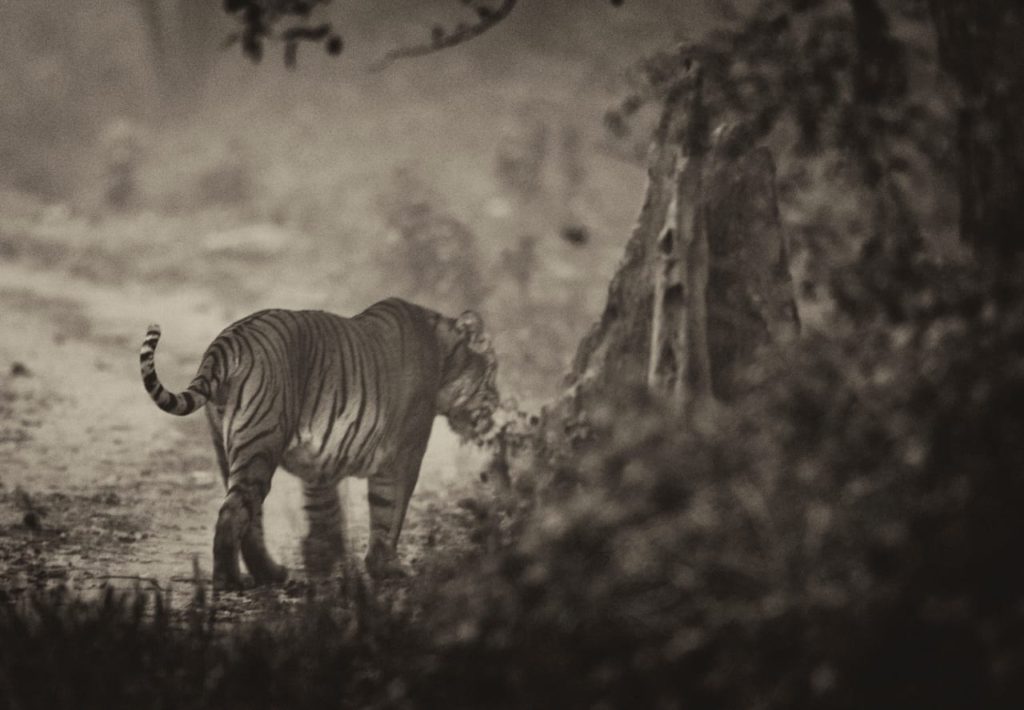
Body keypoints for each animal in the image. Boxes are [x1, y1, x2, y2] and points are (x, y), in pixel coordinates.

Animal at [139, 298, 499, 589]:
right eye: (493, 372)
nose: (497, 403)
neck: (444, 354)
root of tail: (229, 340)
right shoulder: (404, 454)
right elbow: (389, 511)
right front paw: (386, 568)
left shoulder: (321, 460)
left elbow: (325, 513)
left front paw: (326, 561)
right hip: (260, 444)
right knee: (232, 514)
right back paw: (230, 581)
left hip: (232, 452)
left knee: (250, 520)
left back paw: (270, 574)